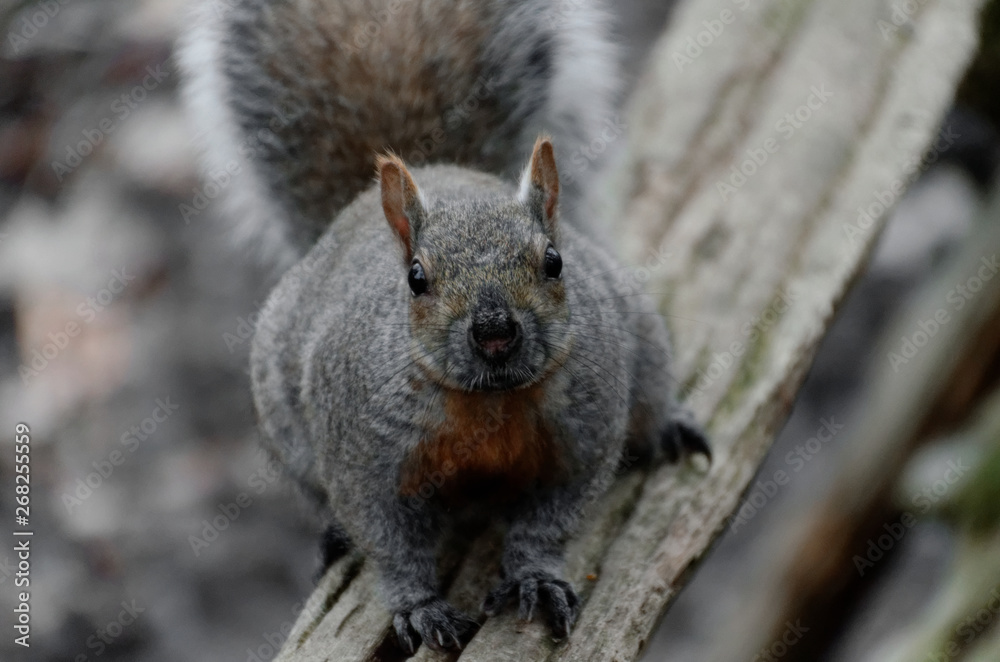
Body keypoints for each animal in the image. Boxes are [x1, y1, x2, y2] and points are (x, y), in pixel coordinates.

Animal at [180, 0, 712, 652]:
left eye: (554, 261)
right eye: (415, 279)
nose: (495, 331)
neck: (490, 401)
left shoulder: (585, 434)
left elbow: (551, 521)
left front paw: (535, 577)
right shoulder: (361, 458)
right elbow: (388, 543)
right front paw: (417, 607)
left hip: (642, 337)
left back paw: (667, 428)